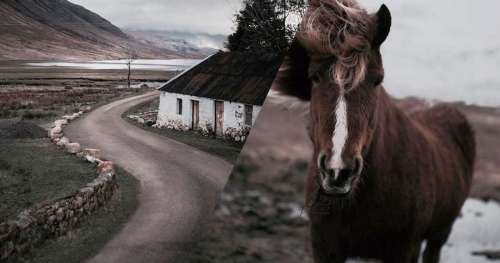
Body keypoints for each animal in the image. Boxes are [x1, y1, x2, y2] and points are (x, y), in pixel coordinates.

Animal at [274, 0, 476, 263]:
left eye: (377, 79)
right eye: (314, 77)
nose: (338, 171)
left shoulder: (405, 249)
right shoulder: (324, 247)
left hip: (439, 234)